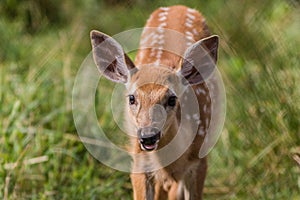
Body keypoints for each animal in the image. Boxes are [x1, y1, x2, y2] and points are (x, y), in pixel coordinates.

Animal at [90, 5, 219, 200]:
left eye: (172, 99)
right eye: (132, 98)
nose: (148, 135)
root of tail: (178, 6)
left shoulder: (200, 159)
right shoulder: (139, 162)